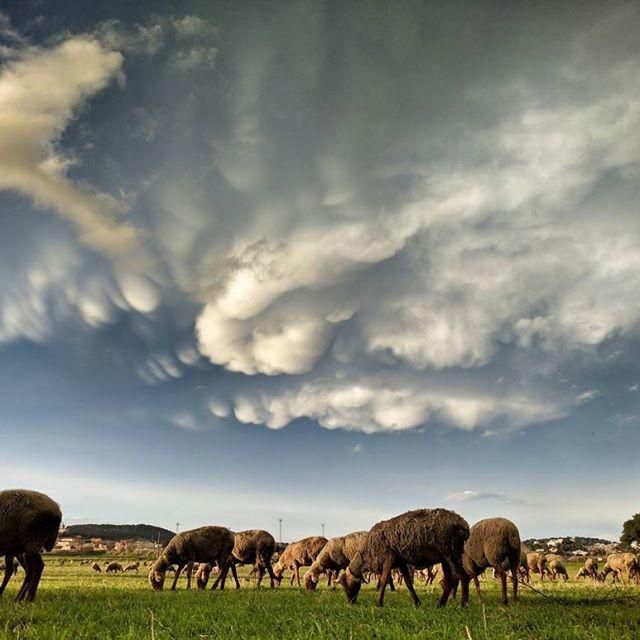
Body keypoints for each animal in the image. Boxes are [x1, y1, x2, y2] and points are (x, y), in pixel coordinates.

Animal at [338, 508, 468, 608]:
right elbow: (408, 582)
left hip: (451, 552)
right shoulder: (401, 562)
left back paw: (463, 604)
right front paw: (417, 602)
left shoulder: (388, 558)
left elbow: (384, 580)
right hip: (445, 558)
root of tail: (463, 524)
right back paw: (441, 604)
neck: (367, 555)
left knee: (461, 576)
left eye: (346, 584)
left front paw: (379, 603)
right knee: (451, 580)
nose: (349, 603)